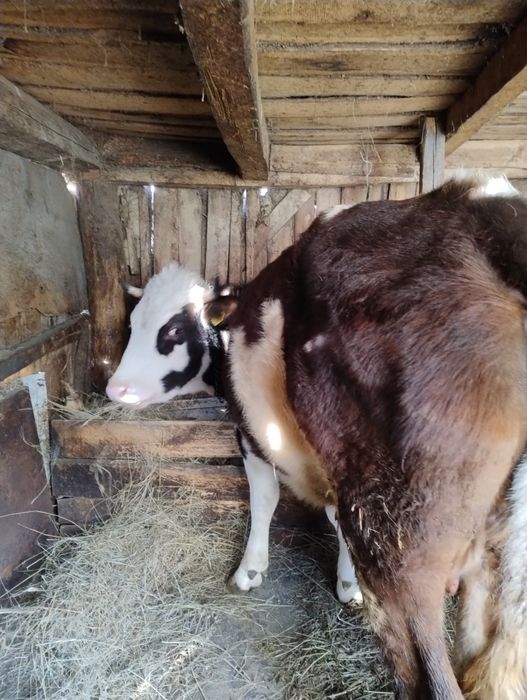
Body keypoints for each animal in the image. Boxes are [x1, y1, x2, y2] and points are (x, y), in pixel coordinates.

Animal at [107, 177, 527, 699]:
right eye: (132, 323)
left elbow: (265, 499)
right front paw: (346, 584)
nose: (115, 388)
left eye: (175, 330)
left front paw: (250, 570)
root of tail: (484, 207)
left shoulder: (250, 433)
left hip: (400, 542)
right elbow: (332, 518)